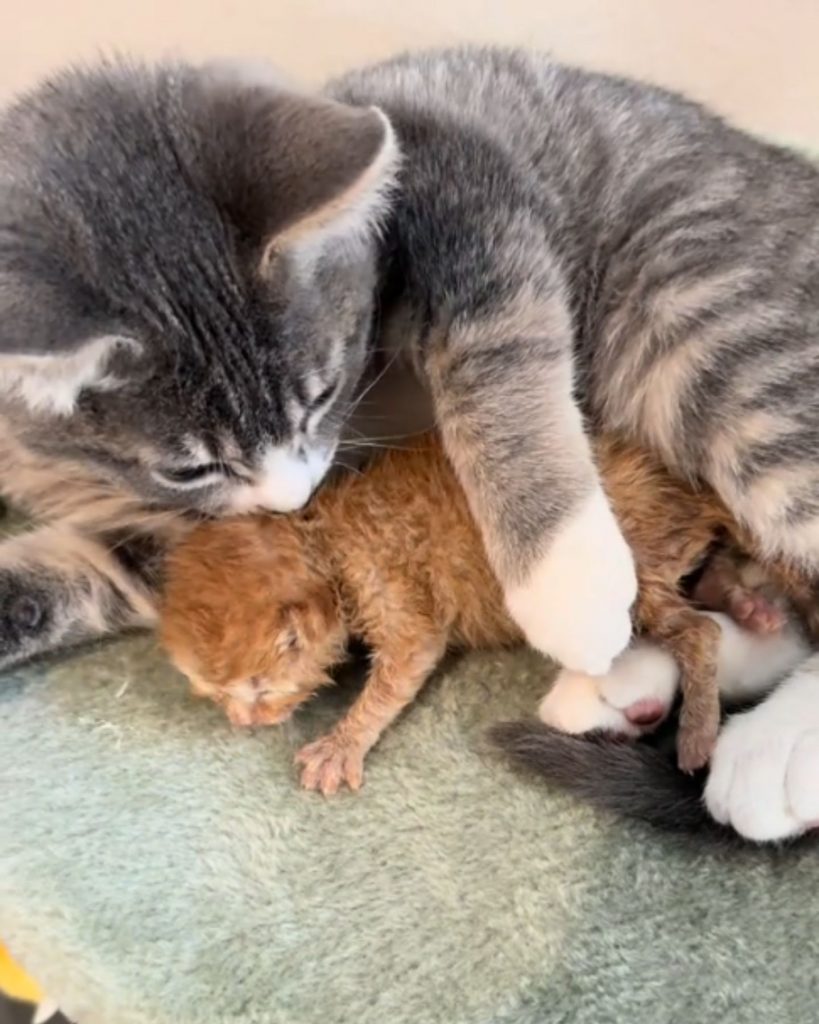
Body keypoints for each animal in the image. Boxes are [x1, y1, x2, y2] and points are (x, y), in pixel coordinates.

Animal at [1, 44, 818, 835]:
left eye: (323, 394)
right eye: (189, 468)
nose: (295, 498)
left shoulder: (461, 177)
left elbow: (496, 359)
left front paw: (570, 588)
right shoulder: (172, 536)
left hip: (704, 318)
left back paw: (769, 750)